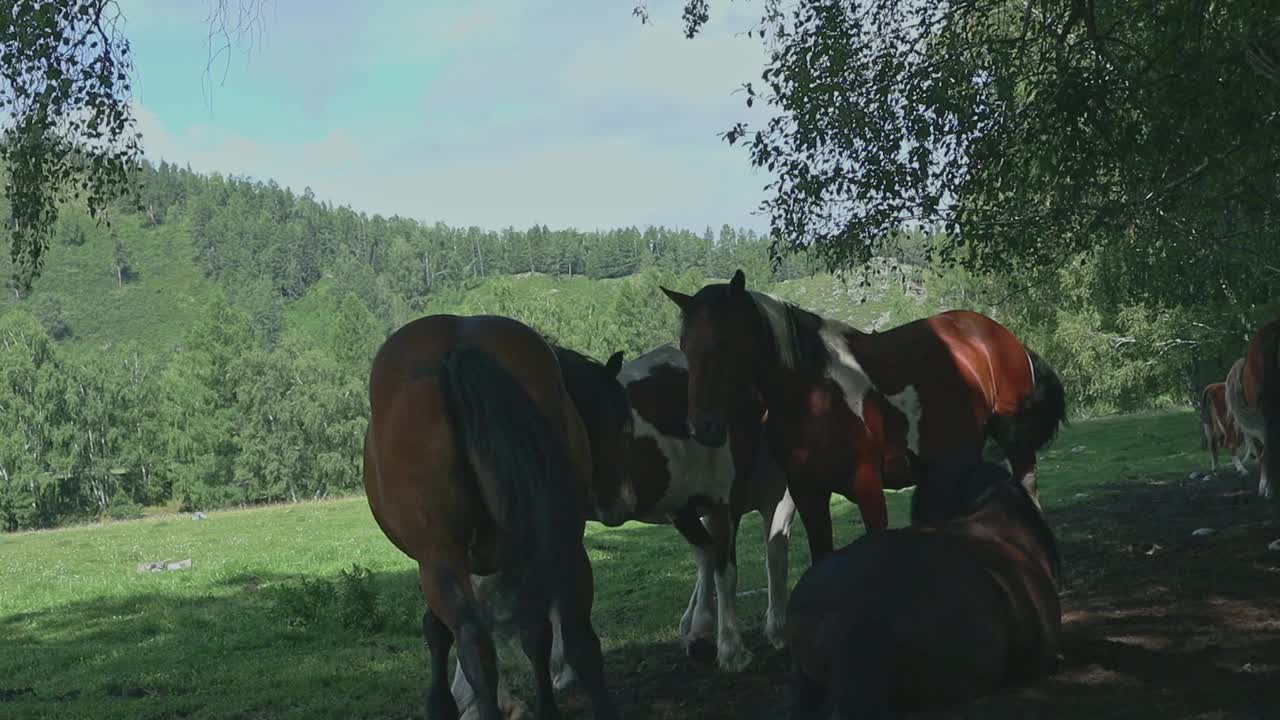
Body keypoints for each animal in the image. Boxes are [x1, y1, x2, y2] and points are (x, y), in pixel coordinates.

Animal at [360, 315, 634, 717]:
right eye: (620, 423)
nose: (619, 502)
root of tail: (459, 348)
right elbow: (536, 634)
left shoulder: (437, 562)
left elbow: (436, 630)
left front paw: (440, 704)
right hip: (563, 547)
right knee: (575, 635)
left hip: (441, 559)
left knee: (475, 646)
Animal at [660, 269, 1070, 561]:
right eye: (685, 346)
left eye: (724, 343)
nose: (703, 427)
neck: (813, 392)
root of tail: (1000, 335)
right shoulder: (808, 493)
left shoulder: (867, 485)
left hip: (1015, 440)